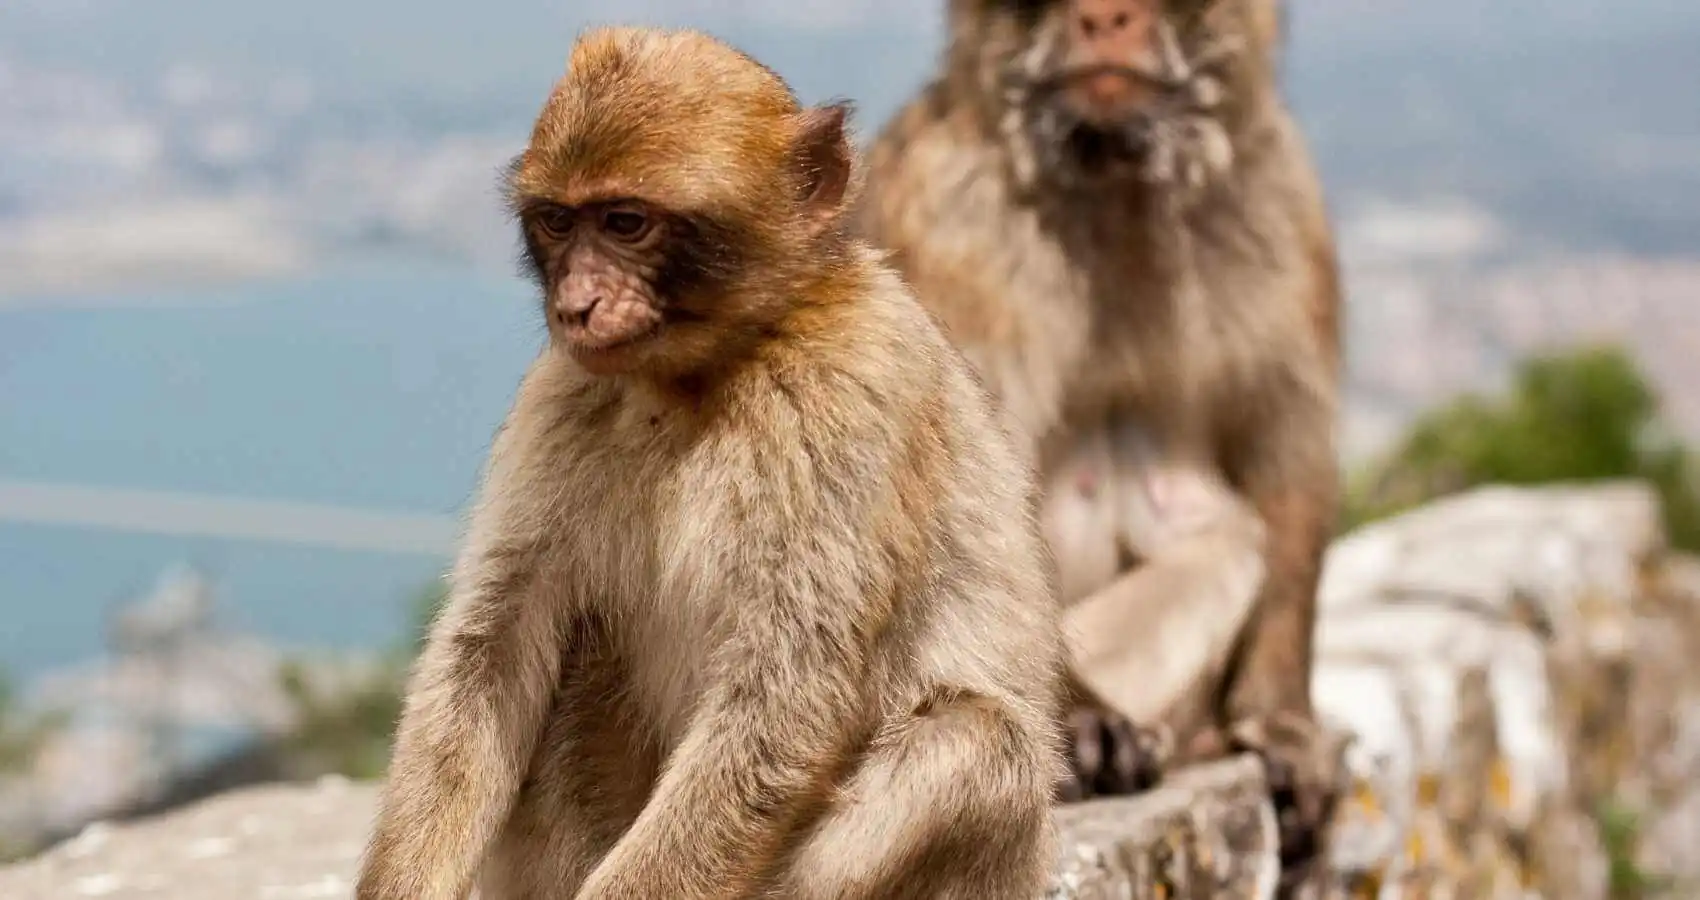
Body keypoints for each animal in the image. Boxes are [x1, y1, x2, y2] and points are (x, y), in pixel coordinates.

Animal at [353, 26, 1067, 900]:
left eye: (626, 222)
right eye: (557, 222)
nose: (576, 305)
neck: (704, 373)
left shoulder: (851, 386)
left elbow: (785, 690)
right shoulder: (562, 393)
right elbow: (493, 644)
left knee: (975, 742)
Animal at [858, 0, 1345, 891]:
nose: (1104, 14)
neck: (1115, 188)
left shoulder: (1280, 200)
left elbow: (1284, 456)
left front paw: (1282, 721)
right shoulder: (946, 224)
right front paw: (1084, 727)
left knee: (1225, 531)